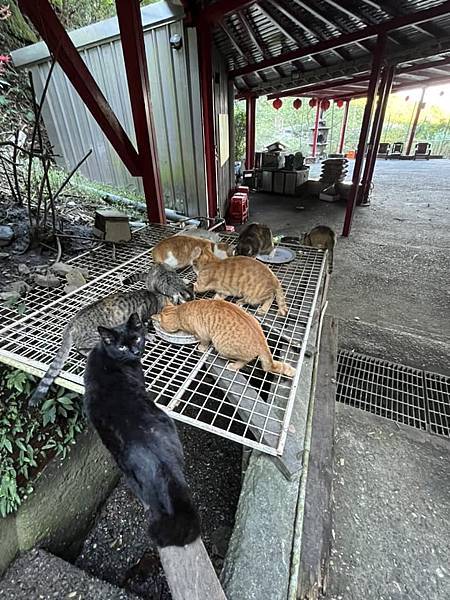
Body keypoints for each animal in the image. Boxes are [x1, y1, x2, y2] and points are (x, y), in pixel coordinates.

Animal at [28, 290, 166, 408]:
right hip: (95, 337)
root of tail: (70, 325)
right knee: (81, 348)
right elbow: (144, 327)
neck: (155, 297)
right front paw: (149, 334)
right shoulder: (142, 314)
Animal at [153, 298, 298, 378]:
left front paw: (201, 347)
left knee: (244, 361)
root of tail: (262, 342)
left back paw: (233, 365)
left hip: (222, 346)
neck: (180, 312)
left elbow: (203, 342)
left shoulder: (203, 334)